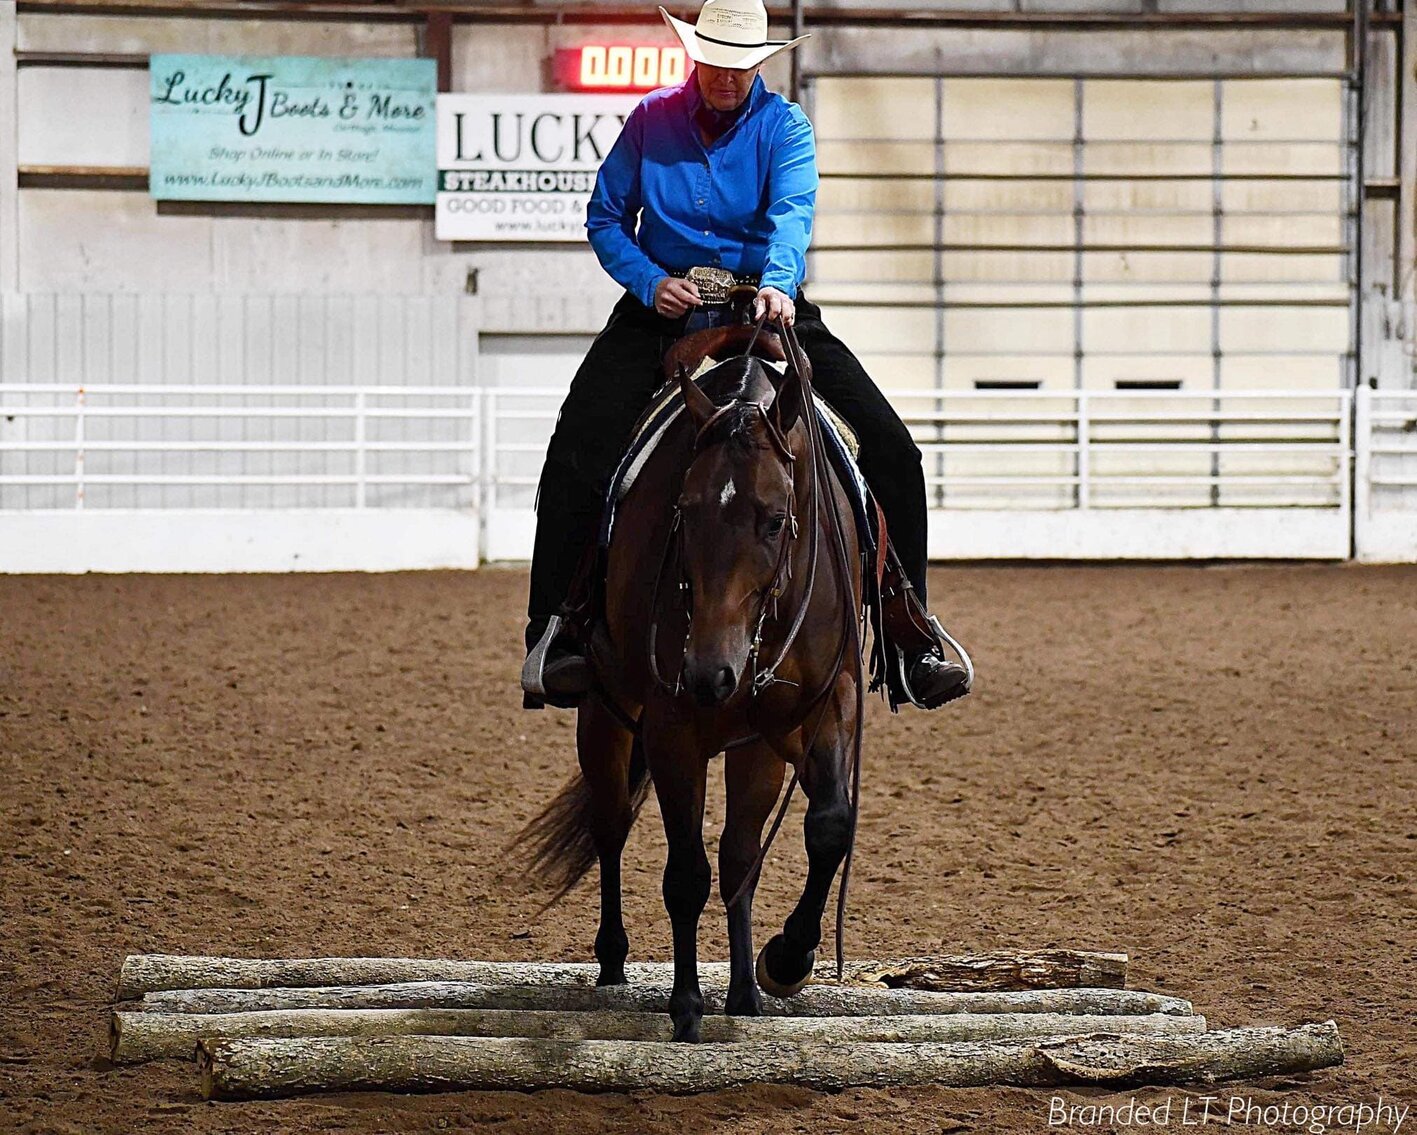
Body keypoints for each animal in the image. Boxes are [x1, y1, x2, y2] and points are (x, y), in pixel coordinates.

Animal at [517, 317, 868, 1043]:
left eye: (774, 518)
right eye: (683, 507)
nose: (711, 672)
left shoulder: (822, 705)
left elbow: (826, 827)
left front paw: (781, 963)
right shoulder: (672, 725)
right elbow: (684, 872)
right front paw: (685, 1006)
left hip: (755, 746)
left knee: (738, 854)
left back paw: (743, 991)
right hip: (604, 714)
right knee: (611, 825)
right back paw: (613, 962)